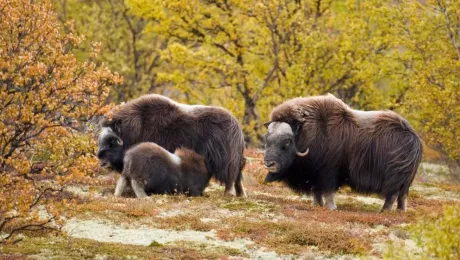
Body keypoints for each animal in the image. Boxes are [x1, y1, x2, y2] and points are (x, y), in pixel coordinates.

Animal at [97, 95, 248, 197]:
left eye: (111, 143)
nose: (101, 161)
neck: (136, 128)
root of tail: (237, 127)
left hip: (225, 160)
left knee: (231, 177)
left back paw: (229, 194)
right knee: (238, 176)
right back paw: (241, 195)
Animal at [264, 93, 422, 211]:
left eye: (287, 142)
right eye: (267, 139)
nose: (269, 163)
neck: (310, 133)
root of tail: (414, 137)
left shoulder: (328, 171)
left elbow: (328, 190)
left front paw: (330, 207)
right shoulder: (315, 173)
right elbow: (317, 190)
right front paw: (317, 204)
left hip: (395, 176)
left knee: (392, 195)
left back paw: (384, 212)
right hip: (407, 180)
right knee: (402, 196)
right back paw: (400, 211)